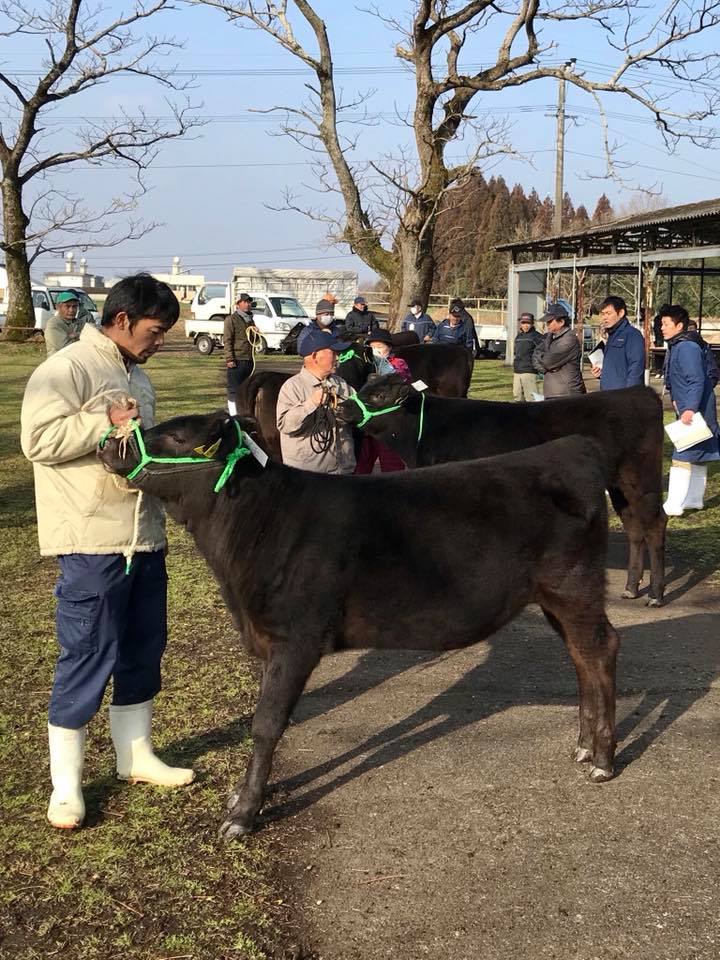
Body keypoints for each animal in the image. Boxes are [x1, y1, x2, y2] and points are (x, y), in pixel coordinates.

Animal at [100, 412, 620, 840]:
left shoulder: (295, 639)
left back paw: (603, 761)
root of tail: (573, 447)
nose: (109, 444)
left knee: (601, 652)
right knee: (581, 658)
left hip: (574, 589)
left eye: (176, 436)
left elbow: (266, 724)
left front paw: (243, 815)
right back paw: (583, 747)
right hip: (554, 600)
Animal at [340, 378, 668, 604]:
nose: (342, 406)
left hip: (641, 478)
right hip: (620, 485)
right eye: (364, 385)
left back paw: (656, 594)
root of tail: (640, 392)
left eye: (378, 395)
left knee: (654, 524)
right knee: (634, 527)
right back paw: (631, 588)